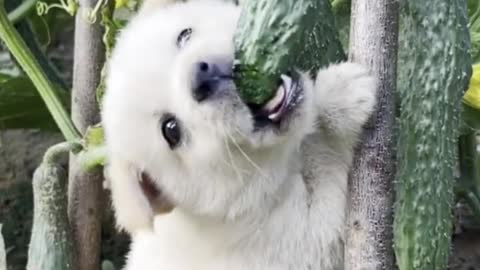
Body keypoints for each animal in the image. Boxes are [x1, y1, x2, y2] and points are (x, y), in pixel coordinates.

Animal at [102, 0, 378, 270]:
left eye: (184, 35)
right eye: (171, 130)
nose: (201, 76)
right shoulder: (298, 241)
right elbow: (328, 168)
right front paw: (340, 96)